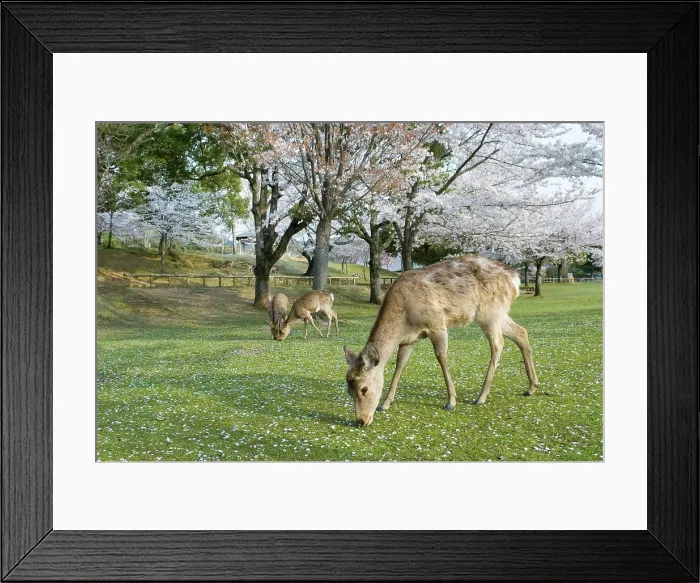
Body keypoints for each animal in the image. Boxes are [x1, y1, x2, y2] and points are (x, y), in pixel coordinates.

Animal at [343, 254, 539, 427]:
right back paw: (531, 386)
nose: (360, 421)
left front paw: (451, 401)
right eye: (348, 391)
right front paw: (385, 404)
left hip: (490, 313)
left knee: (498, 344)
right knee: (521, 332)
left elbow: (441, 357)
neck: (404, 319)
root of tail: (515, 279)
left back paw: (481, 396)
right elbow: (400, 364)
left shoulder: (437, 325)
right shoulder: (409, 340)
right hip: (499, 314)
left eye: (364, 388)